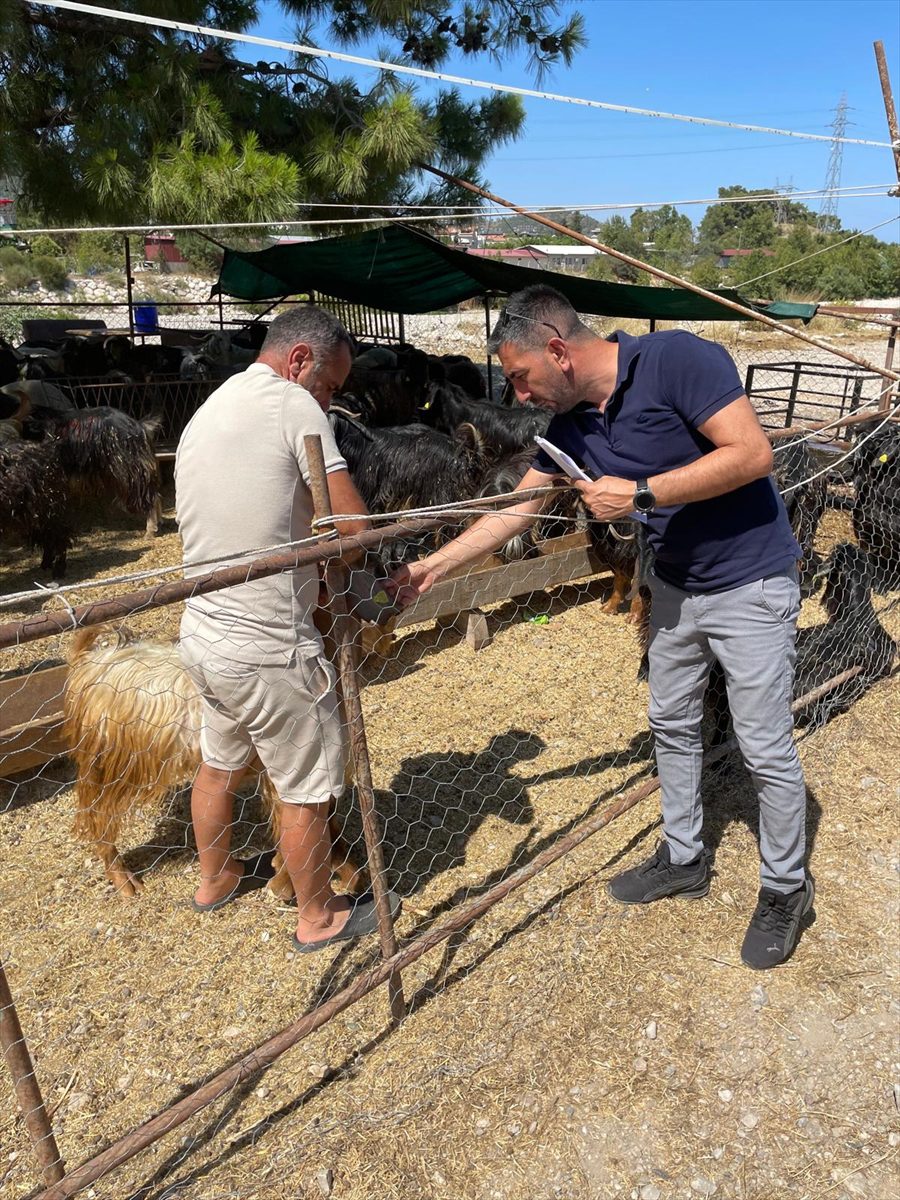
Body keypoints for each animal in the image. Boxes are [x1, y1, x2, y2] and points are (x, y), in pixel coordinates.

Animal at [62, 624, 369, 897]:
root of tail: (91, 661)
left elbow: (326, 824)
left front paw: (347, 875)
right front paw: (285, 883)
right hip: (111, 764)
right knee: (96, 815)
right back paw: (123, 879)